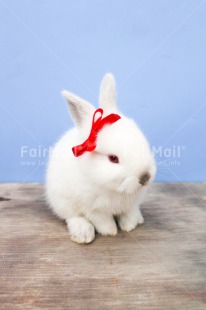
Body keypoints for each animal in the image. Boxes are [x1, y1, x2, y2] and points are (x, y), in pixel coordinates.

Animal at [45, 74, 155, 243]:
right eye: (113, 158)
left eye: (142, 140)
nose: (145, 177)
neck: (116, 189)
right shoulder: (92, 208)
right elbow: (102, 220)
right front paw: (110, 231)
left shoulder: (130, 205)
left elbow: (128, 214)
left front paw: (129, 226)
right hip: (61, 201)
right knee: (72, 216)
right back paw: (83, 233)